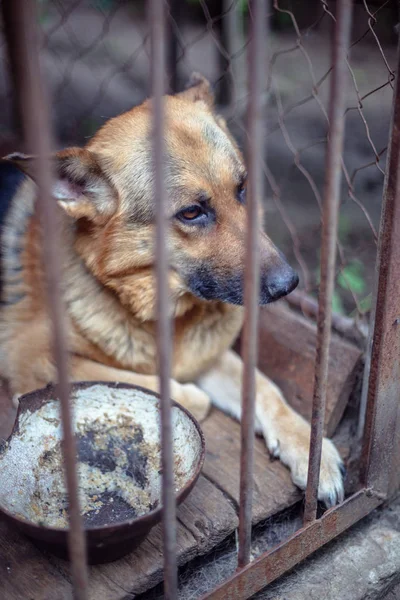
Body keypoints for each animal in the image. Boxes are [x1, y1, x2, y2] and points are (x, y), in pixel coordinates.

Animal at [0, 74, 344, 506]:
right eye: (192, 213)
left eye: (242, 189)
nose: (288, 284)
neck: (161, 313)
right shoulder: (31, 357)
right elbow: (175, 391)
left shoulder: (208, 356)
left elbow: (267, 390)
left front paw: (311, 451)